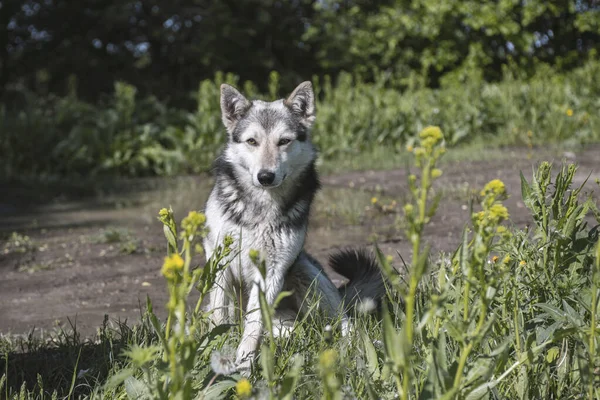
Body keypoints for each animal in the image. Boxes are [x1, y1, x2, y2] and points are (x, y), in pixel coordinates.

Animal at [204, 80, 386, 372]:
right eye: (252, 141)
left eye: (284, 141)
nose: (265, 176)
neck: (261, 207)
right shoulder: (220, 264)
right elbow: (219, 317)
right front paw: (218, 351)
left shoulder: (272, 270)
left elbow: (254, 324)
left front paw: (244, 362)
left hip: (307, 272)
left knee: (346, 324)